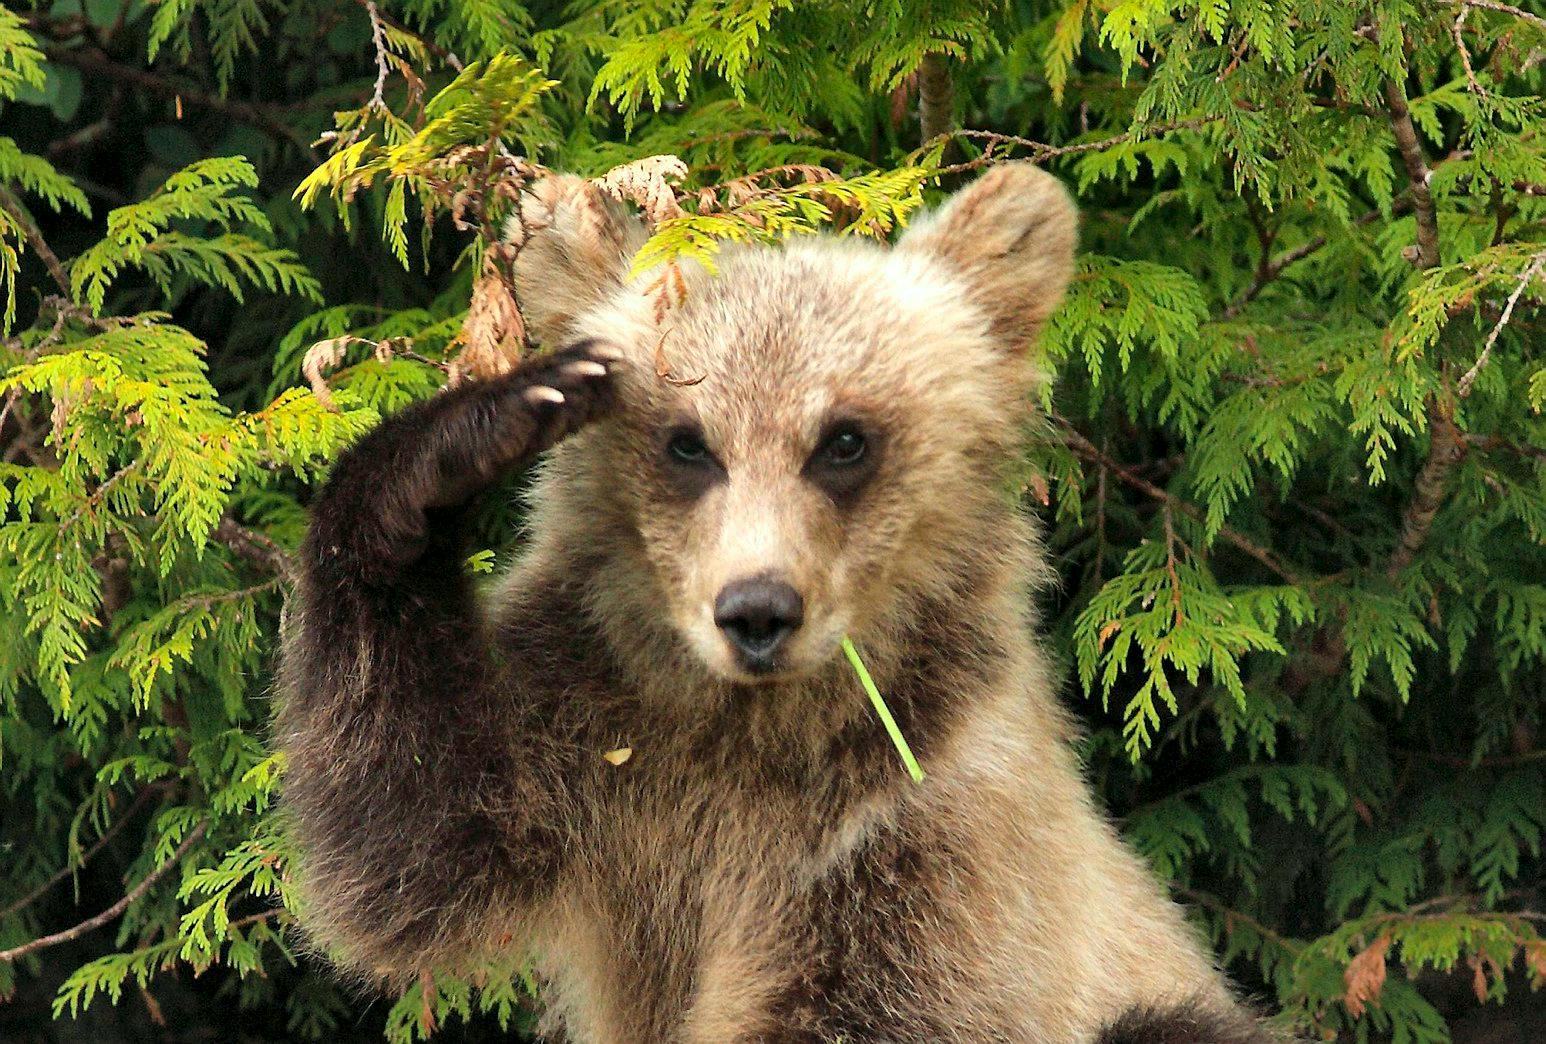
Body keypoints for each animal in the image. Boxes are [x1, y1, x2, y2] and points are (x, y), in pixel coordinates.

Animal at [277, 163, 1281, 1043]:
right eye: (688, 442)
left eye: (843, 439)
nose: (757, 610)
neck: (757, 732)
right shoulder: (588, 729)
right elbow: (407, 833)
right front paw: (469, 435)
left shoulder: (920, 831)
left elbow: (873, 997)